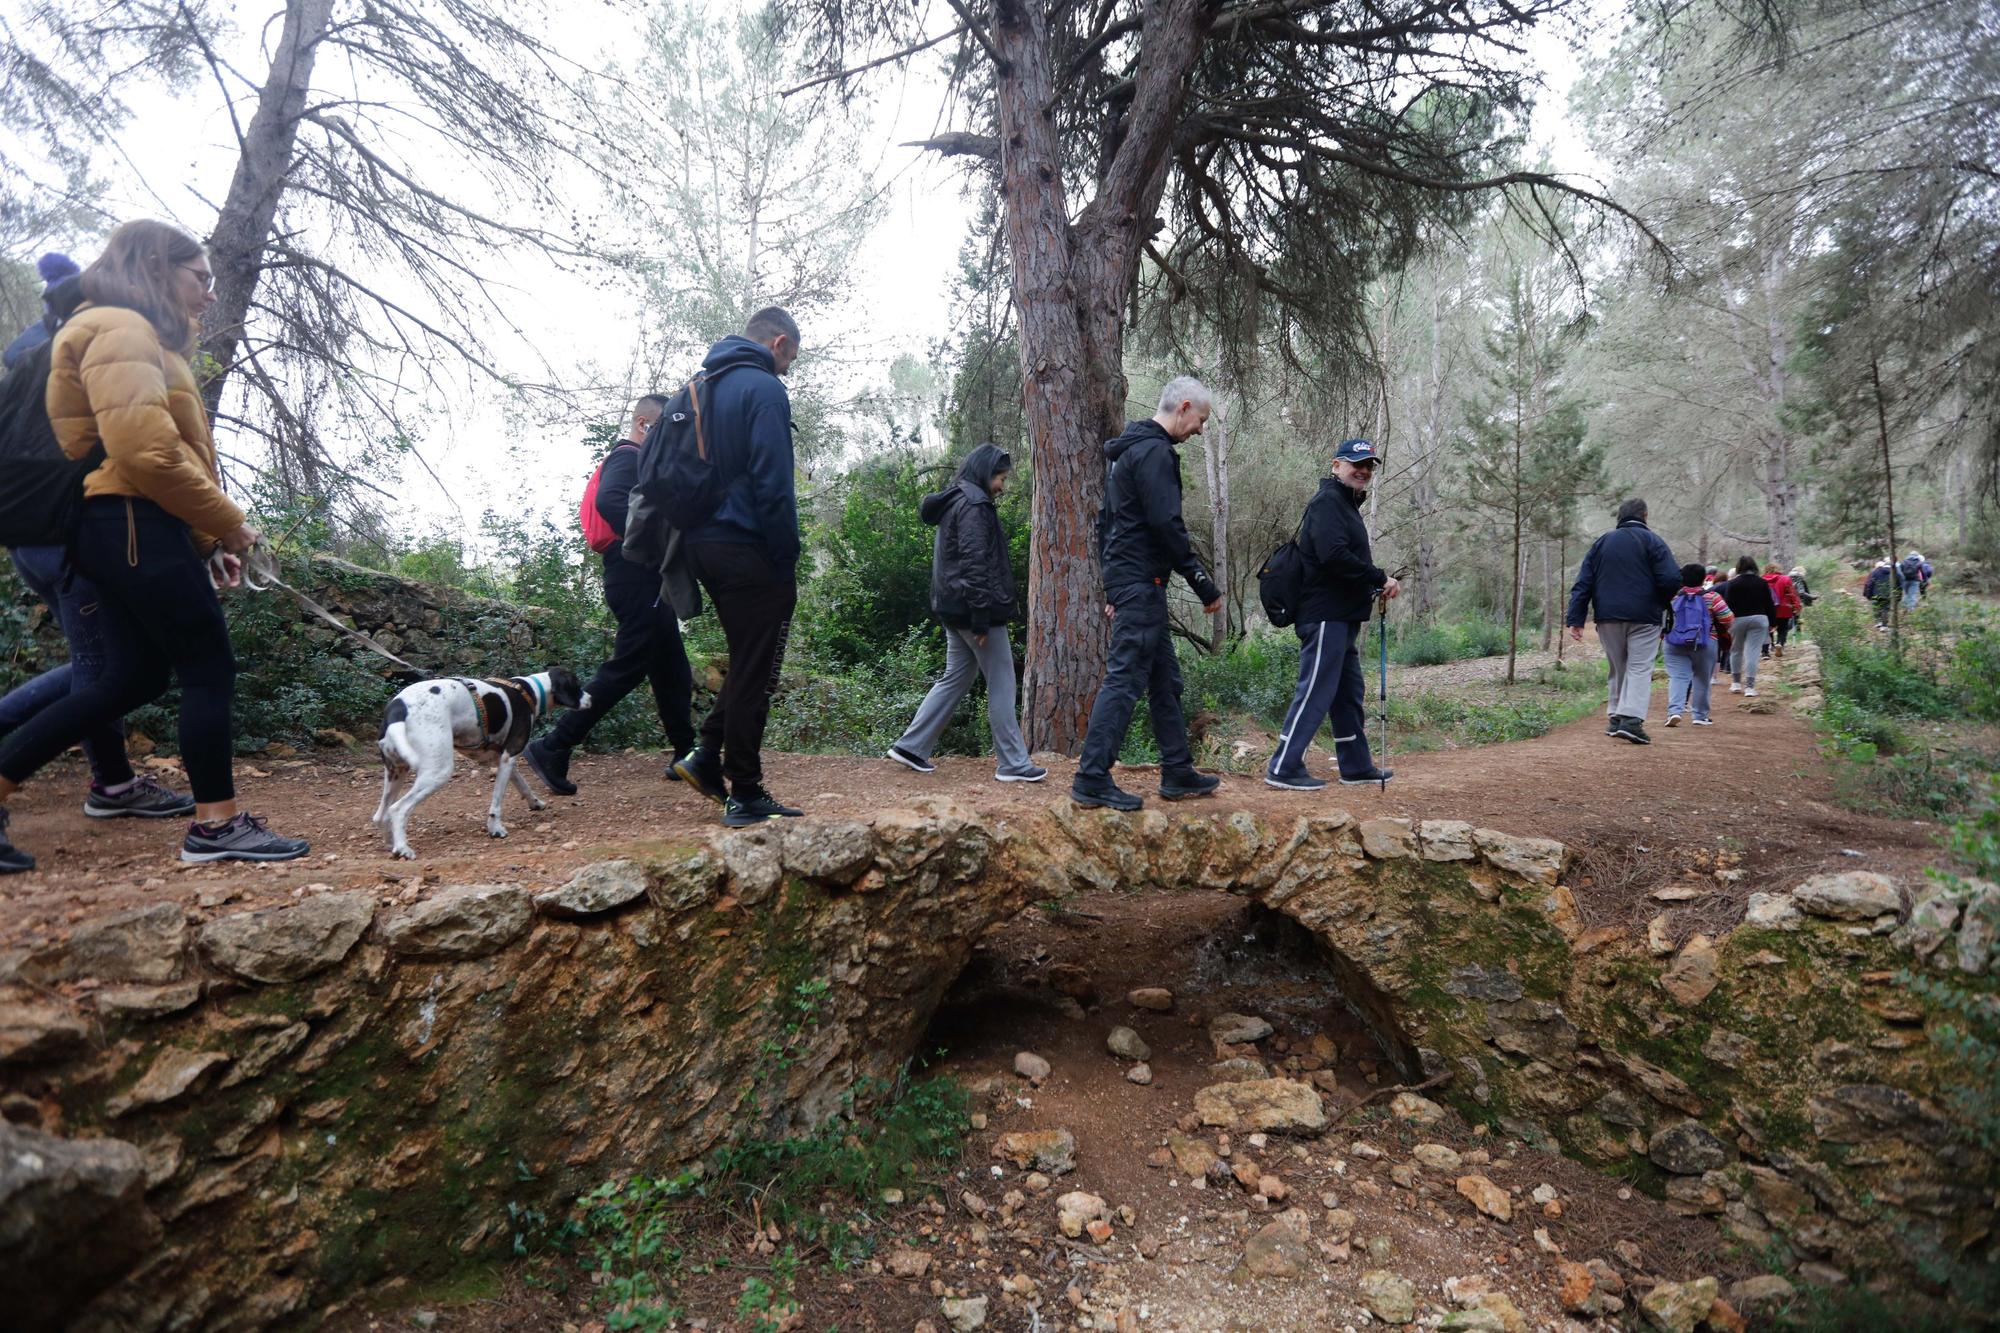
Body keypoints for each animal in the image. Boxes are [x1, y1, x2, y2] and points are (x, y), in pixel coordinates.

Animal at [374, 668, 584, 856]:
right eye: (577, 686)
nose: (589, 698)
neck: (530, 690)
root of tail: (398, 708)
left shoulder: (499, 758)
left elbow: (522, 783)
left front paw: (535, 802)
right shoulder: (510, 755)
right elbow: (497, 801)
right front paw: (495, 828)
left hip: (396, 772)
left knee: (381, 815)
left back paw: (392, 843)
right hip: (437, 771)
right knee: (398, 809)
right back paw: (403, 848)